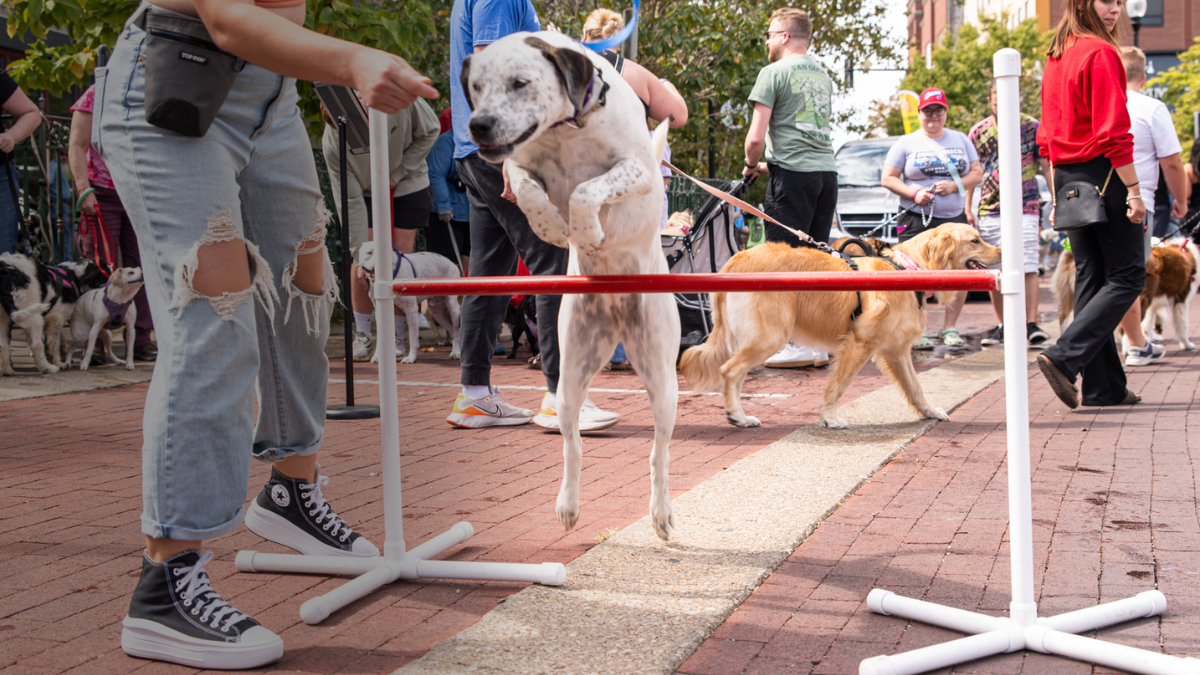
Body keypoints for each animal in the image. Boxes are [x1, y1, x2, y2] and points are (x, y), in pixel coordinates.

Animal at [460, 31, 681, 538]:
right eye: (476, 87)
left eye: (520, 83)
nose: (479, 126)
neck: (565, 131)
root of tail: (618, 316)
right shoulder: (516, 169)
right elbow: (526, 189)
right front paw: (551, 226)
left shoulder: (637, 170)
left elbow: (586, 189)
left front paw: (585, 230)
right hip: (571, 377)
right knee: (573, 446)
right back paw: (568, 504)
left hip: (663, 382)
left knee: (658, 455)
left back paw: (661, 512)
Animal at [676, 223, 1003, 427]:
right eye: (975, 240)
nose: (1001, 251)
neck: (907, 268)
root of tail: (738, 258)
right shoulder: (860, 341)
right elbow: (840, 384)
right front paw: (830, 418)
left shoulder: (896, 350)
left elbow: (915, 387)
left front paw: (930, 412)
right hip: (769, 336)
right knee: (729, 372)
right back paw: (738, 417)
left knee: (736, 374)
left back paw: (740, 415)